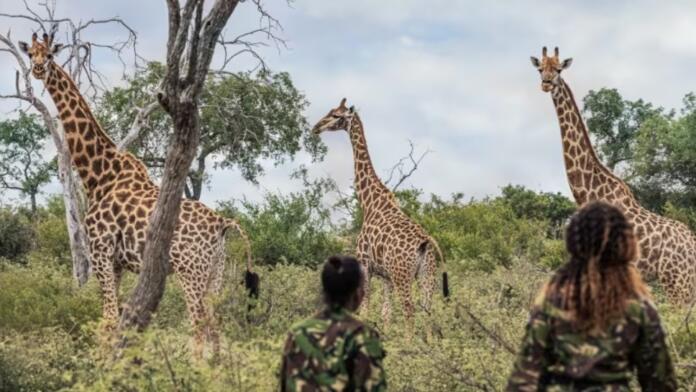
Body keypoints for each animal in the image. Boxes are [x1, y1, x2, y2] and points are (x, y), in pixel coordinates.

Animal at [19, 32, 258, 348]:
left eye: (48, 55)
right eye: (30, 53)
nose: (37, 69)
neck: (98, 175)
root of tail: (222, 222)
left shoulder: (100, 250)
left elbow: (108, 318)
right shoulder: (116, 263)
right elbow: (112, 318)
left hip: (190, 271)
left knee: (198, 327)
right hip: (215, 271)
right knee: (215, 330)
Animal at [312, 97, 448, 322]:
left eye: (336, 115)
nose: (315, 127)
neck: (370, 203)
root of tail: (426, 243)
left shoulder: (365, 265)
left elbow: (365, 309)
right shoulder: (385, 275)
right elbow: (386, 314)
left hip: (402, 274)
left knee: (409, 310)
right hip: (427, 275)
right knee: (427, 312)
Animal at [532, 46, 692, 304]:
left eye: (558, 70)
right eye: (539, 69)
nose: (546, 83)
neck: (589, 194)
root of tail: (692, 245)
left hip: (677, 283)